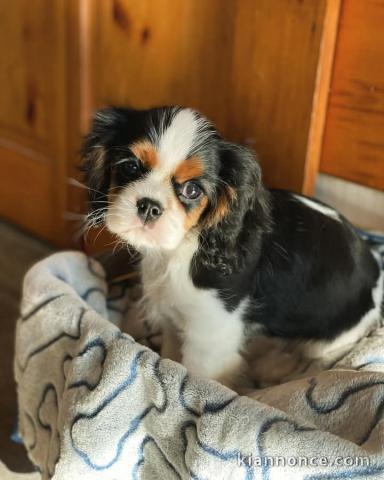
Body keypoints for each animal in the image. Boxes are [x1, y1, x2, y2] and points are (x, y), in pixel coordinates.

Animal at [82, 105, 382, 386]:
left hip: (333, 338)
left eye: (192, 190)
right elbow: (171, 358)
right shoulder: (174, 321)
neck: (179, 250)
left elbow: (198, 376)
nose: (149, 206)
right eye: (130, 167)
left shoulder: (209, 338)